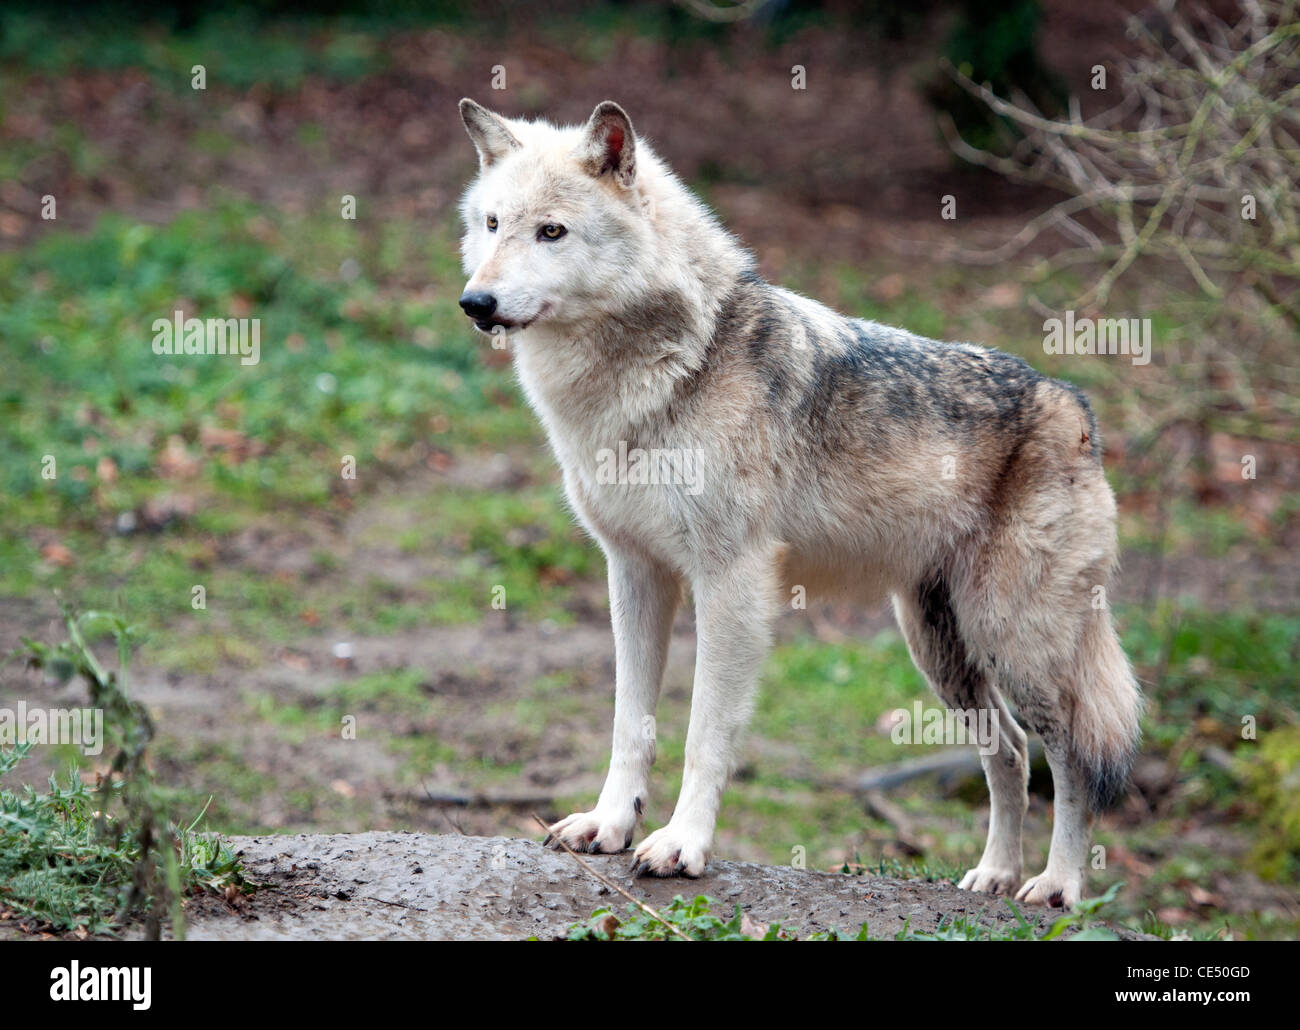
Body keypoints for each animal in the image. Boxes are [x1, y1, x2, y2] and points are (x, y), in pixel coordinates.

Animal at [454, 94, 1138, 899]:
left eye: (552, 231)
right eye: (492, 224)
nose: (475, 301)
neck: (665, 368)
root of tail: (1075, 405)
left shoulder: (732, 582)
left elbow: (704, 734)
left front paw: (681, 845)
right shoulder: (634, 573)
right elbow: (631, 725)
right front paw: (609, 826)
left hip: (1016, 643)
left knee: (1073, 759)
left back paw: (1056, 887)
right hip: (941, 652)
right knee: (1009, 754)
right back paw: (993, 875)